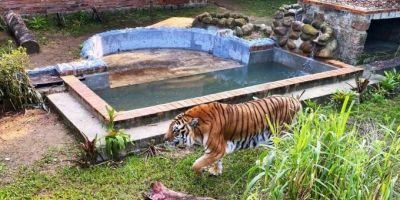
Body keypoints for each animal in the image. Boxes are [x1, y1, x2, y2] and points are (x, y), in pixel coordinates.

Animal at [164, 95, 302, 175]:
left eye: (175, 131)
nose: (164, 139)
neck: (198, 131)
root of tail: (294, 100)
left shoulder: (216, 149)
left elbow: (196, 164)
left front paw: (200, 173)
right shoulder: (217, 150)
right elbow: (217, 161)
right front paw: (216, 171)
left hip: (278, 134)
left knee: (280, 150)